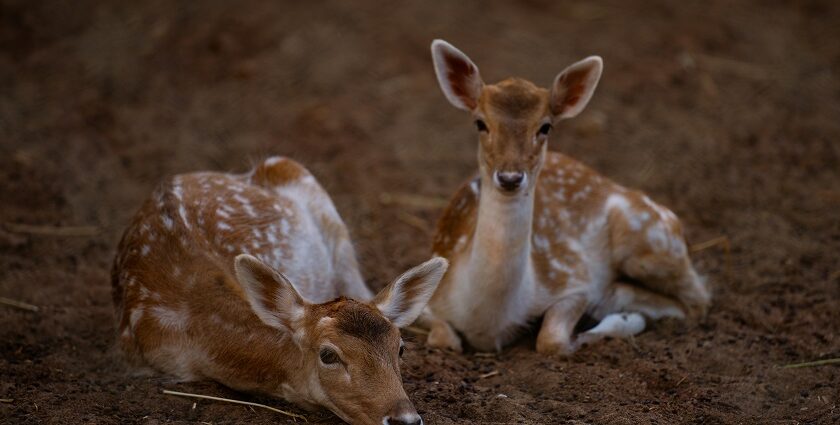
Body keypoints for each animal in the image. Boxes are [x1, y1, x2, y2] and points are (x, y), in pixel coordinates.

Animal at [420, 39, 708, 352]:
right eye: (480, 123)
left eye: (545, 126)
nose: (510, 177)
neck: (487, 317)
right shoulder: (430, 295)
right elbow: (443, 339)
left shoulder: (571, 279)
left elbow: (552, 340)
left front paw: (595, 330)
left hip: (650, 237)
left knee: (698, 300)